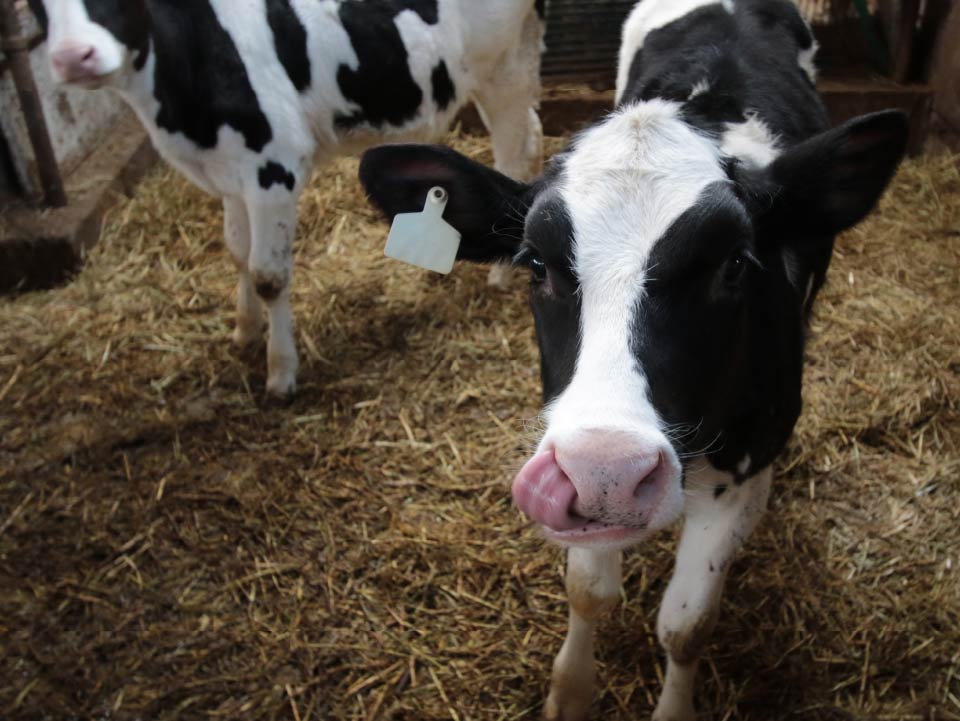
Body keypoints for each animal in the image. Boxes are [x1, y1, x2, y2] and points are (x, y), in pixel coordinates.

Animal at [28, 0, 548, 396]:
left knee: (511, 153)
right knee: (530, 136)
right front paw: (244, 329)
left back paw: (501, 274)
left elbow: (268, 274)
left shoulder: (272, 168)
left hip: (502, 66)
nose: (72, 57)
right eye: (37, 6)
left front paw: (280, 371)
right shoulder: (230, 172)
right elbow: (237, 252)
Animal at [360, 0, 908, 716]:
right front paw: (571, 693)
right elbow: (590, 594)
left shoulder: (746, 470)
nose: (606, 473)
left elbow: (686, 625)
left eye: (735, 263)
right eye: (535, 263)